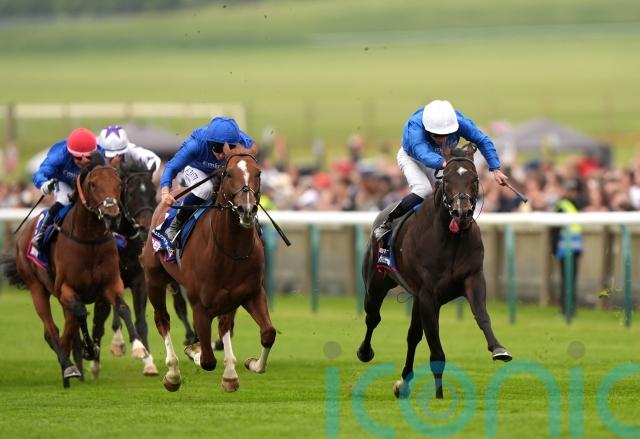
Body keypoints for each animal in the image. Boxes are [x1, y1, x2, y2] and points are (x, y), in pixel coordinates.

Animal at [1, 152, 148, 388]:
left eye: (119, 184)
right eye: (93, 184)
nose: (112, 214)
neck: (89, 241)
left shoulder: (111, 283)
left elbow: (123, 308)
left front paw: (138, 348)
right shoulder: (66, 289)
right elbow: (81, 313)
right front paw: (90, 350)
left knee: (67, 331)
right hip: (37, 288)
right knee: (51, 330)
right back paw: (69, 367)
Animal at [90, 157, 197, 377]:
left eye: (152, 191)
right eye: (130, 192)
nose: (146, 226)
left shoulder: (140, 280)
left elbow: (141, 320)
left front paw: (148, 361)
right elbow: (110, 314)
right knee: (100, 317)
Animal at [140, 143, 275, 393]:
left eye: (259, 173)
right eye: (228, 174)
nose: (247, 209)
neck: (230, 251)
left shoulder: (249, 293)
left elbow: (267, 333)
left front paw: (248, 366)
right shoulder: (200, 305)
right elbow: (207, 360)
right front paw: (194, 352)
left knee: (225, 327)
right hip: (154, 279)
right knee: (162, 319)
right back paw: (173, 373)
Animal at [357, 144, 512, 400]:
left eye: (475, 178)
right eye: (446, 179)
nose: (462, 212)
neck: (451, 238)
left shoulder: (473, 279)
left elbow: (482, 315)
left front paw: (498, 349)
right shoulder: (429, 295)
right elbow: (436, 350)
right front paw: (439, 396)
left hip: (415, 298)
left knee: (412, 336)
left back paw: (403, 383)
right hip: (376, 285)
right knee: (373, 318)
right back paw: (365, 352)